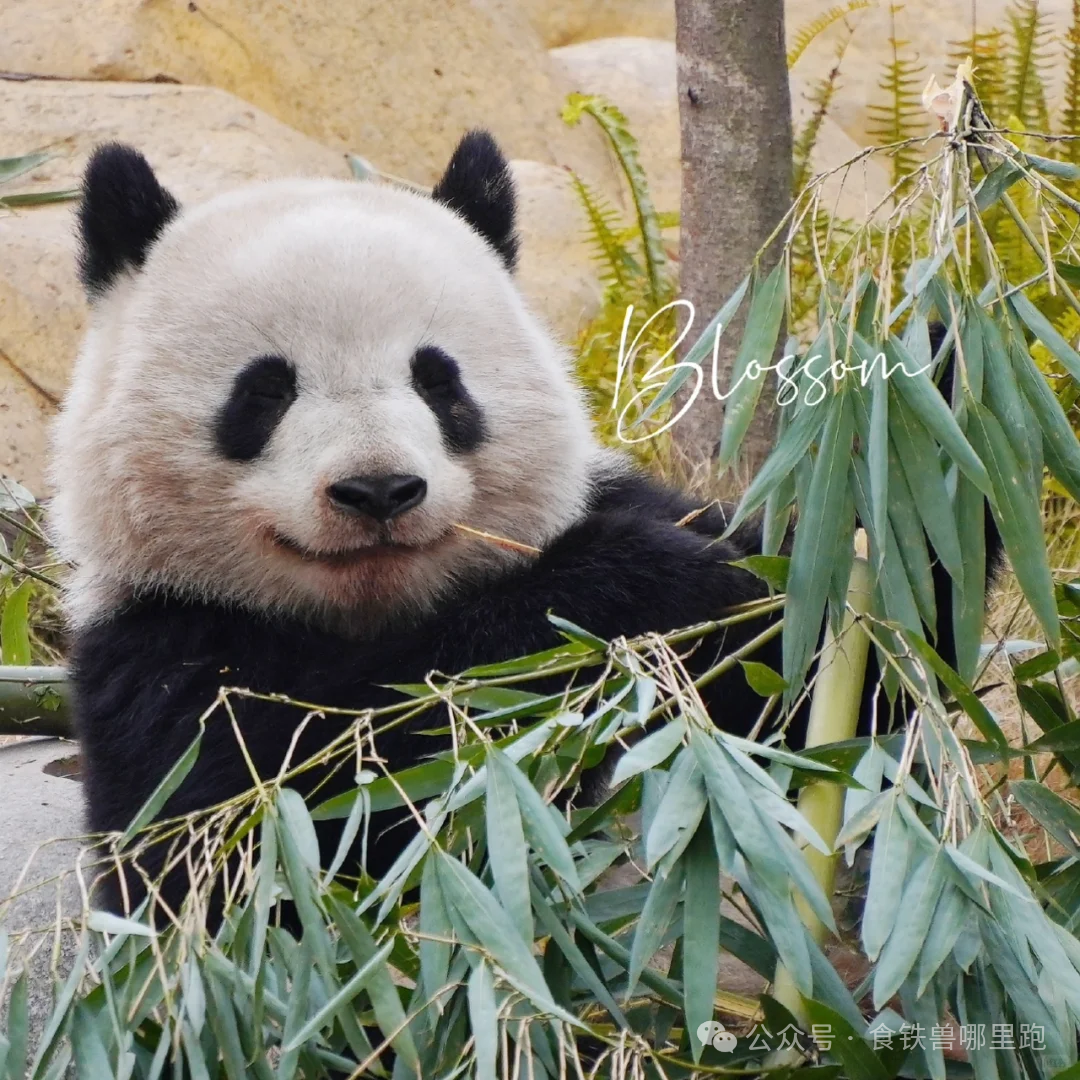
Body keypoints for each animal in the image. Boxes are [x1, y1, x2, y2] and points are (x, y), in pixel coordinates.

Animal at [48, 130, 993, 915]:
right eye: (265, 391)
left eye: (440, 381)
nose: (379, 490)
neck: (378, 612)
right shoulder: (158, 653)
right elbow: (282, 827)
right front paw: (632, 587)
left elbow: (836, 670)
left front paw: (935, 382)